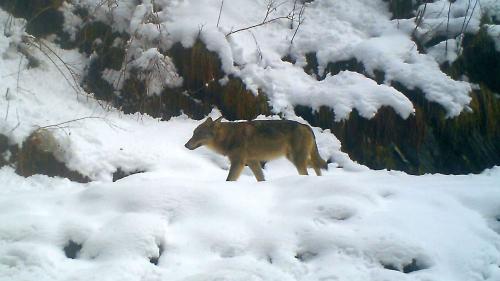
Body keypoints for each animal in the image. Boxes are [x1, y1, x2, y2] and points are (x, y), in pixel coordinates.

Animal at [184, 116, 328, 180]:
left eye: (198, 134)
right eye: (193, 133)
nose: (185, 145)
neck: (229, 136)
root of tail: (305, 125)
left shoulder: (238, 162)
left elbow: (229, 179)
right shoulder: (253, 162)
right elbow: (261, 179)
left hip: (297, 161)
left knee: (312, 168)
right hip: (295, 159)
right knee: (318, 165)